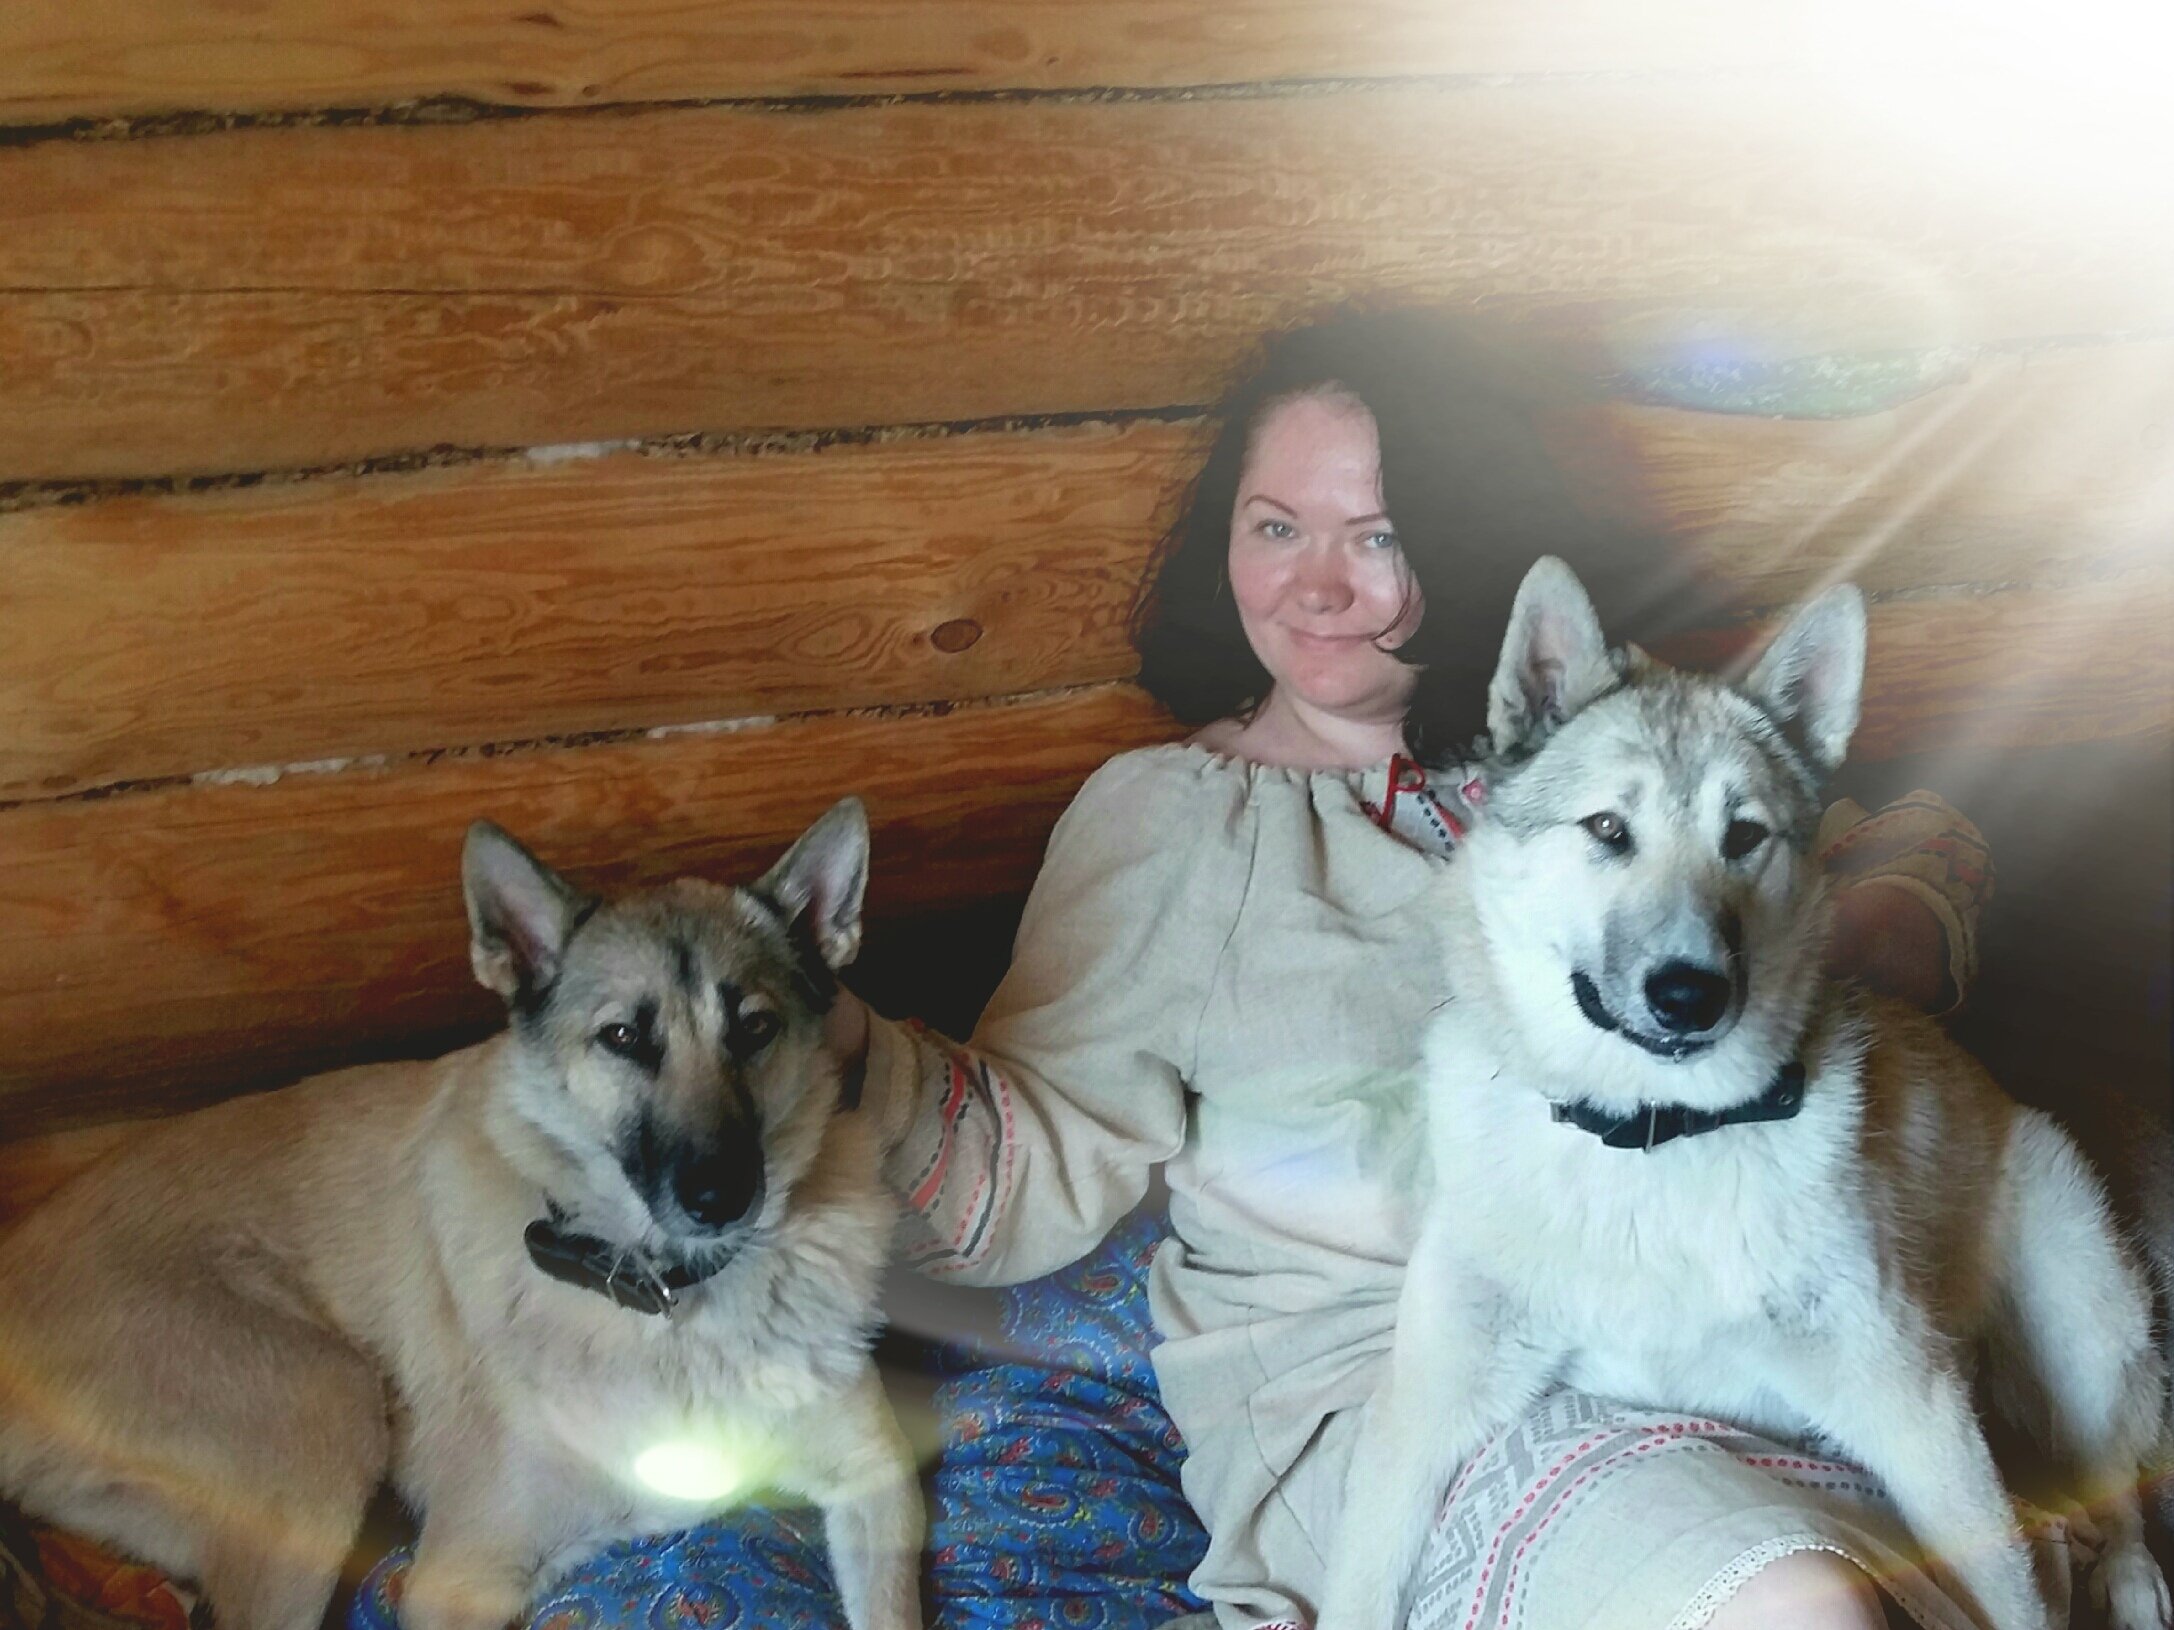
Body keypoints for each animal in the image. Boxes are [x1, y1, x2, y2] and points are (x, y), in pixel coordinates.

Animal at [0, 800, 923, 1630]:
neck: (668, 1299)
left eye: (755, 1028)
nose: (721, 1198)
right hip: (324, 1411)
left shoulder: (879, 1480)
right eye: (624, 1038)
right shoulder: (458, 1579)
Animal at [1317, 559, 2171, 1630]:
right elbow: (1359, 1583)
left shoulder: (1916, 1404)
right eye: (1608, 829)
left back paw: (2132, 1577)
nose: (1691, 993)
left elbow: (2010, 1593)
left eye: (1747, 835)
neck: (1651, 1138)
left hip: (2081, 1325)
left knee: (2117, 1479)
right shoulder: (1425, 1407)